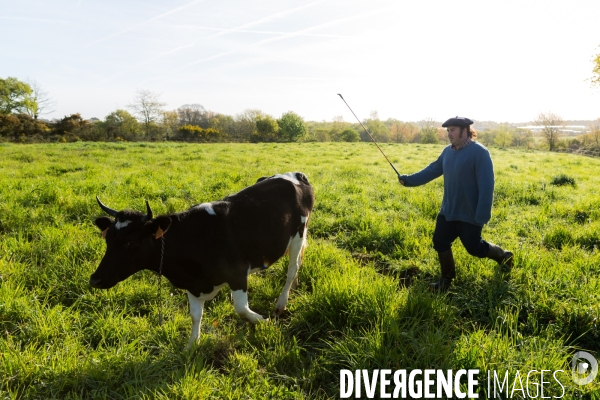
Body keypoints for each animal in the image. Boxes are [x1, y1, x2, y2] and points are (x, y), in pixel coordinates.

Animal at [90, 172, 314, 350]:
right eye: (108, 239)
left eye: (130, 242)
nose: (94, 279)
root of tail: (296, 174)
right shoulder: (192, 283)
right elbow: (195, 315)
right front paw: (191, 346)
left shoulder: (237, 273)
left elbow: (241, 309)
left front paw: (264, 321)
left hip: (298, 234)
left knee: (293, 268)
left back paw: (280, 305)